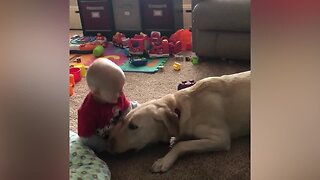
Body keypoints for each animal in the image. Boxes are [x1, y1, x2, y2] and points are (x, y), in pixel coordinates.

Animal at [107, 70, 250, 173]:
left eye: (133, 126)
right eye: (122, 121)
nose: (109, 143)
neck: (179, 109)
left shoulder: (220, 138)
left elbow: (182, 145)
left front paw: (165, 160)